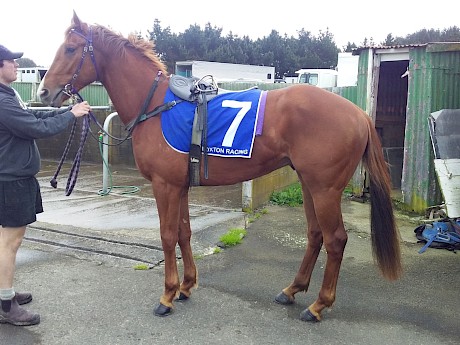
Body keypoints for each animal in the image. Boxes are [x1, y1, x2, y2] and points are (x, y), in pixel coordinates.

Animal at [37, 12, 400, 322]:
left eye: (70, 48)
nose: (44, 92)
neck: (156, 104)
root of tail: (358, 114)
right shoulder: (180, 185)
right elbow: (184, 232)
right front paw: (186, 286)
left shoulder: (164, 185)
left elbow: (167, 236)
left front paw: (167, 296)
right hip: (310, 184)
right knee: (315, 235)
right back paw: (292, 290)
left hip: (325, 189)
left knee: (336, 240)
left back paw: (318, 305)